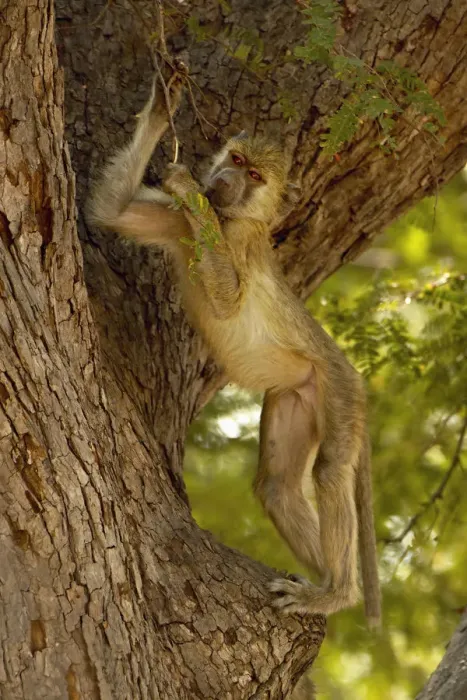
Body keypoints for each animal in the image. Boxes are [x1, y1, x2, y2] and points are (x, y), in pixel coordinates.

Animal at [86, 68, 381, 628]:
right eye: (238, 161)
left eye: (256, 177)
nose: (223, 181)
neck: (226, 221)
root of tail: (350, 372)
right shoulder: (176, 222)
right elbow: (109, 213)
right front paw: (163, 108)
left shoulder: (235, 241)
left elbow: (226, 302)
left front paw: (186, 181)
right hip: (298, 394)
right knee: (279, 489)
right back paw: (328, 590)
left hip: (340, 390)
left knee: (330, 471)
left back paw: (337, 594)